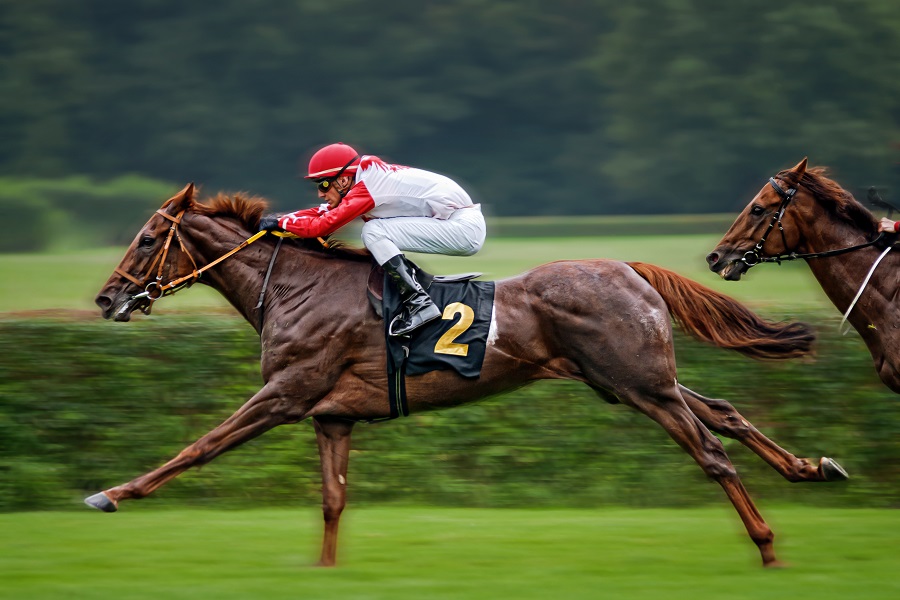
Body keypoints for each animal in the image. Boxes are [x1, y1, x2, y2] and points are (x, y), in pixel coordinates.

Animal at [89, 183, 844, 568]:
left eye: (148, 238)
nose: (106, 298)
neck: (297, 287)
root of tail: (627, 266)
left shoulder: (285, 394)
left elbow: (200, 446)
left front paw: (112, 493)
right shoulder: (332, 414)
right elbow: (332, 499)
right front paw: (325, 572)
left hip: (640, 385)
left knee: (711, 450)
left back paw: (767, 545)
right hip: (626, 379)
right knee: (723, 412)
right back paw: (812, 467)